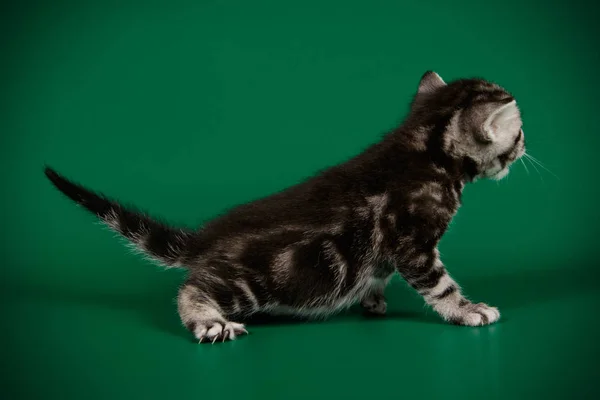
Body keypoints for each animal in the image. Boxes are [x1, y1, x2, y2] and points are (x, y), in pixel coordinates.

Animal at [45, 71, 524, 340]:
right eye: (518, 134)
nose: (524, 147)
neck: (425, 148)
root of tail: (205, 240)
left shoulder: (391, 251)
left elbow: (379, 273)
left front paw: (372, 298)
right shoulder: (413, 242)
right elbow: (440, 285)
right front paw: (468, 310)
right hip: (251, 284)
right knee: (190, 288)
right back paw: (209, 321)